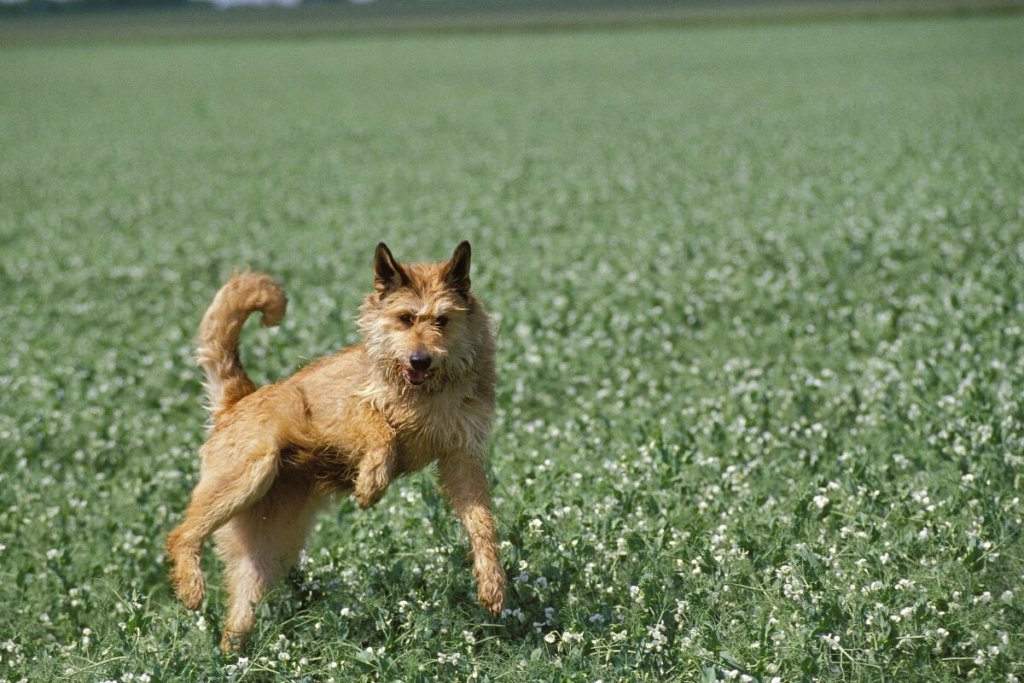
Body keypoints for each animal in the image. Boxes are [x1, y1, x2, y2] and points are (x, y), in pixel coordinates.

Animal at [162, 240, 507, 651]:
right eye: (406, 318)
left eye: (442, 320)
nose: (419, 359)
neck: (426, 394)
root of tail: (237, 400)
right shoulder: (348, 411)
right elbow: (382, 431)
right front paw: (371, 484)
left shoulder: (461, 457)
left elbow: (482, 525)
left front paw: (492, 583)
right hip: (244, 478)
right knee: (180, 535)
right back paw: (190, 588)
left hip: (269, 550)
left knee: (238, 615)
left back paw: (230, 657)